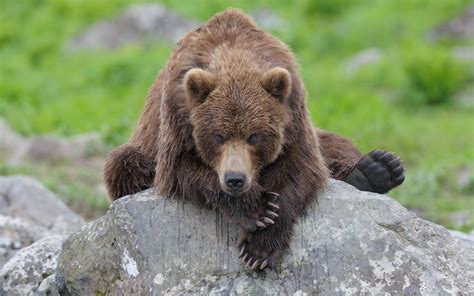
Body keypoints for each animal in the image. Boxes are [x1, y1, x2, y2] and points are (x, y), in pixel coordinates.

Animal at [103, 9, 404, 270]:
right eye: (218, 136)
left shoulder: (292, 111)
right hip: (143, 143)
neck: (234, 56)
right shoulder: (179, 114)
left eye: (253, 136)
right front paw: (257, 209)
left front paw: (260, 247)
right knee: (124, 163)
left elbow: (301, 168)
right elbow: (181, 169)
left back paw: (377, 169)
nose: (235, 179)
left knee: (335, 143)